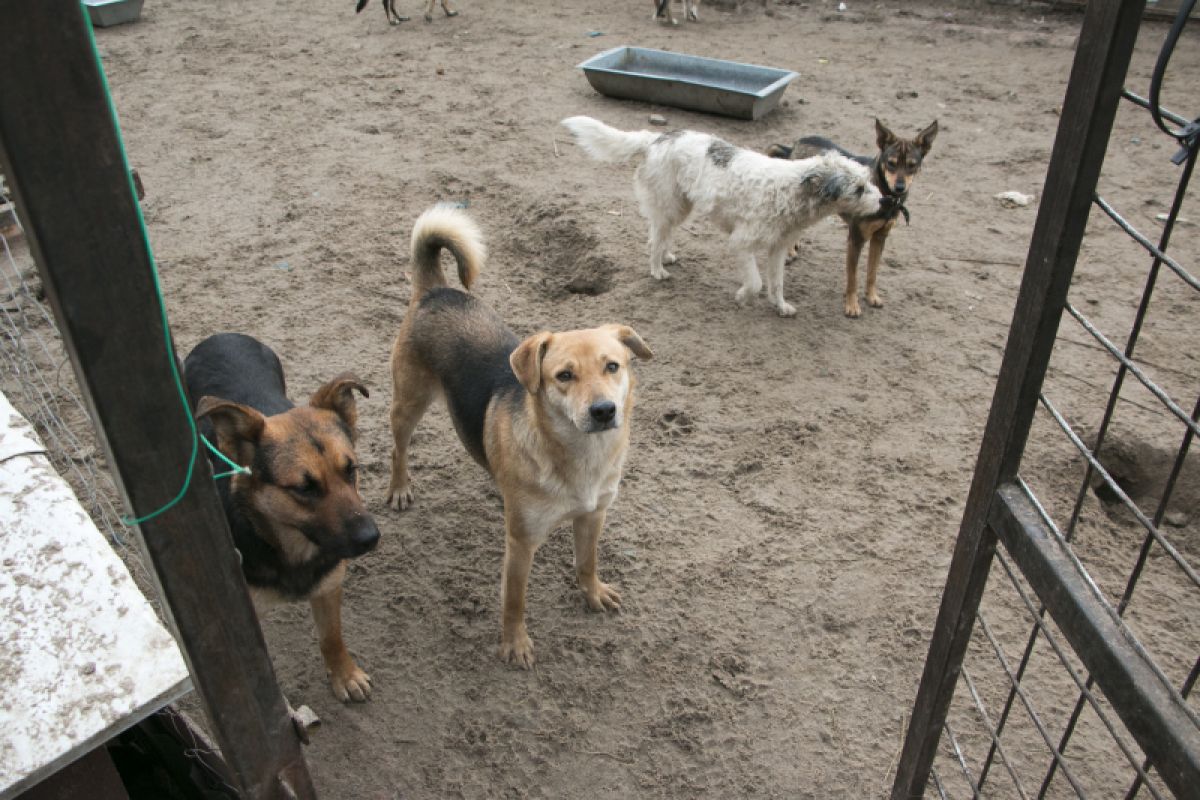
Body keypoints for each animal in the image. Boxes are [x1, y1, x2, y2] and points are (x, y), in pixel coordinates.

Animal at [183, 335, 374, 705]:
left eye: (351, 469)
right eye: (304, 488)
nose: (371, 537)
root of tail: (222, 335)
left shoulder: (328, 586)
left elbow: (332, 637)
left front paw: (344, 675)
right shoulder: (246, 616)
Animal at [386, 205, 652, 671]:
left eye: (613, 366)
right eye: (564, 376)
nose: (604, 411)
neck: (580, 457)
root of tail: (436, 291)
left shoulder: (593, 516)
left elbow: (587, 562)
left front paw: (593, 593)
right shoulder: (522, 543)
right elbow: (514, 601)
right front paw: (514, 644)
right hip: (409, 403)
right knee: (398, 445)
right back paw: (400, 487)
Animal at [556, 117, 888, 316]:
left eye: (867, 181)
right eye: (859, 188)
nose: (884, 200)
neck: (792, 189)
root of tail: (657, 138)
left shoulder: (778, 248)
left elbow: (777, 282)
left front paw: (780, 306)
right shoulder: (741, 243)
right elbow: (755, 282)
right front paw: (742, 297)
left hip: (680, 207)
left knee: (661, 235)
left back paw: (667, 257)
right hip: (670, 205)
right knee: (653, 239)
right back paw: (657, 270)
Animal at [768, 118, 936, 319]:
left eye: (912, 165)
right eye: (891, 163)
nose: (900, 187)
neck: (884, 195)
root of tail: (795, 145)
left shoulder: (880, 237)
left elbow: (872, 272)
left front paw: (871, 296)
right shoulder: (856, 239)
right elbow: (853, 278)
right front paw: (852, 306)